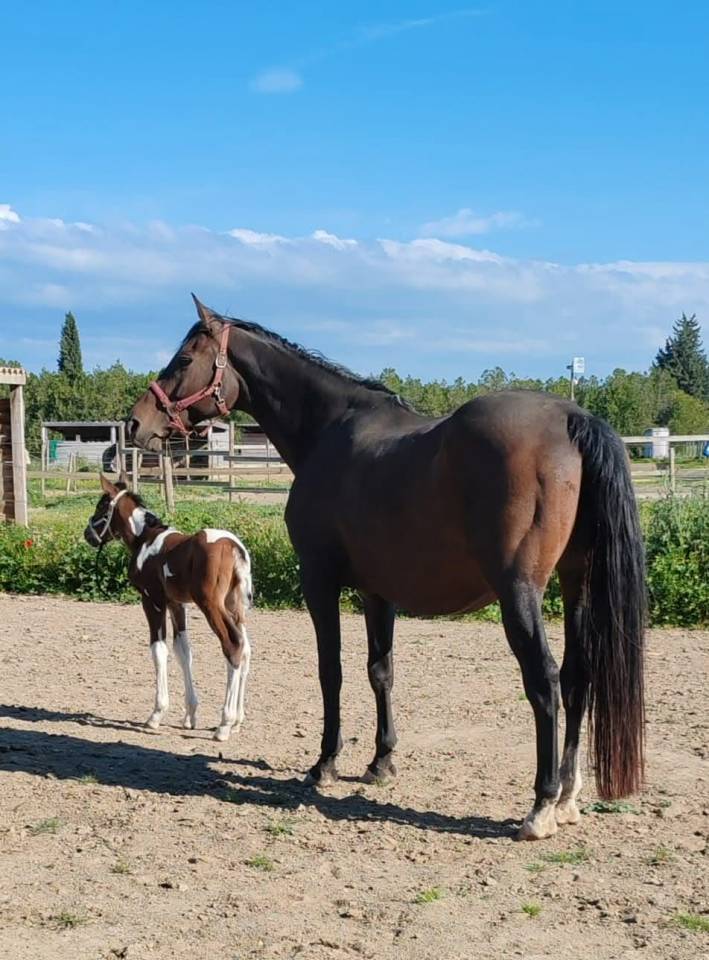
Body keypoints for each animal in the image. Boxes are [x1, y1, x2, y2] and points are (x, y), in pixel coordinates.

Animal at [84, 474, 253, 742]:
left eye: (101, 506)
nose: (87, 535)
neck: (146, 539)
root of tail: (234, 547)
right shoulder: (177, 604)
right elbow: (183, 651)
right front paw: (190, 715)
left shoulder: (152, 600)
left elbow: (159, 650)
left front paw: (156, 714)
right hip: (235, 606)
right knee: (246, 648)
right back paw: (237, 720)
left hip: (211, 606)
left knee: (233, 644)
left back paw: (225, 724)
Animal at [127, 296, 646, 840]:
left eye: (185, 359)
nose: (137, 422)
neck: (328, 430)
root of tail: (572, 417)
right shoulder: (377, 593)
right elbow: (381, 671)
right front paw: (381, 761)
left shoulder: (319, 581)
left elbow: (330, 671)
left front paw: (324, 763)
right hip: (576, 583)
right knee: (577, 677)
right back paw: (567, 795)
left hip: (520, 593)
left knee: (545, 682)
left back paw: (541, 805)